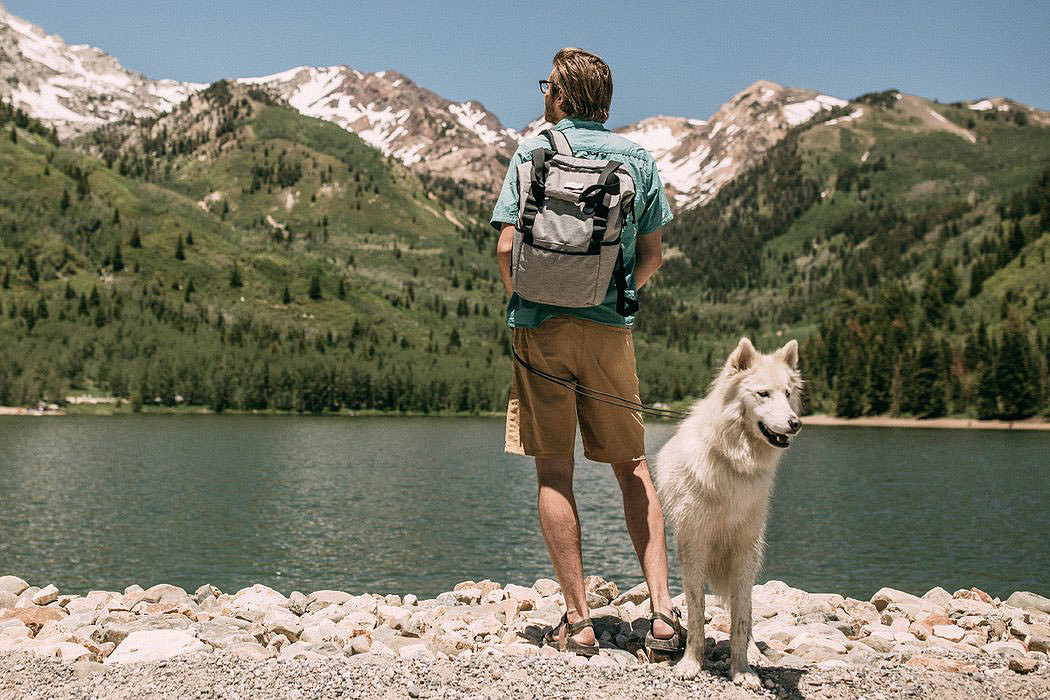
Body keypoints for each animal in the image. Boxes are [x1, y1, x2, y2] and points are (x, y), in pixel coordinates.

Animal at [655, 335, 802, 688]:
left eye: (787, 394)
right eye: (763, 394)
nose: (796, 424)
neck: (735, 463)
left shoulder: (745, 550)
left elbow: (742, 618)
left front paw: (742, 669)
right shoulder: (693, 546)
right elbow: (697, 613)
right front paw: (691, 664)